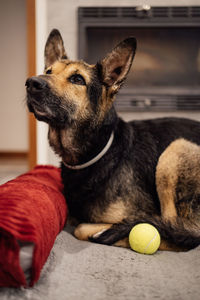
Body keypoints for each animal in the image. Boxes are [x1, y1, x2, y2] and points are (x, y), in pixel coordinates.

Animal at [26, 29, 200, 251]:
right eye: (48, 71)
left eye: (77, 79)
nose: (32, 83)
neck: (97, 154)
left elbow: (81, 227)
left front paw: (106, 231)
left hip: (176, 149)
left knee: (179, 233)